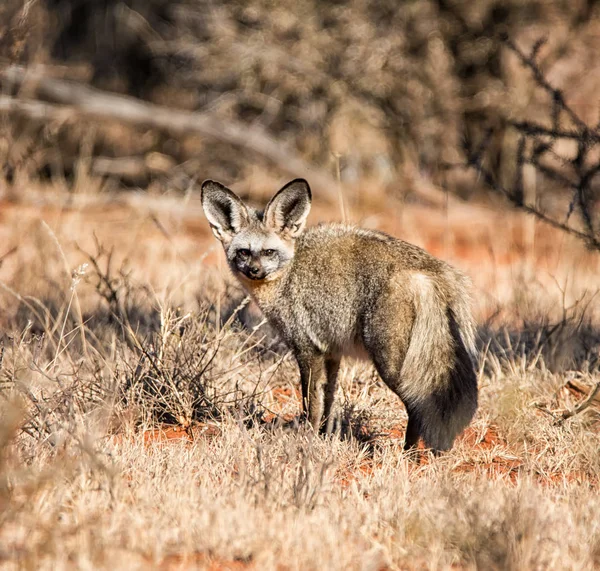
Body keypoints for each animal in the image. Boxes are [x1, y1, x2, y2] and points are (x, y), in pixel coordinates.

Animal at [202, 179, 478, 452]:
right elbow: (328, 400)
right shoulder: (332, 352)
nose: (254, 271)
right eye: (244, 252)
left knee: (415, 405)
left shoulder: (306, 350)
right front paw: (324, 436)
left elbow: (311, 403)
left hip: (390, 365)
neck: (287, 275)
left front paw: (307, 438)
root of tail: (430, 269)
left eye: (269, 252)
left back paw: (408, 454)